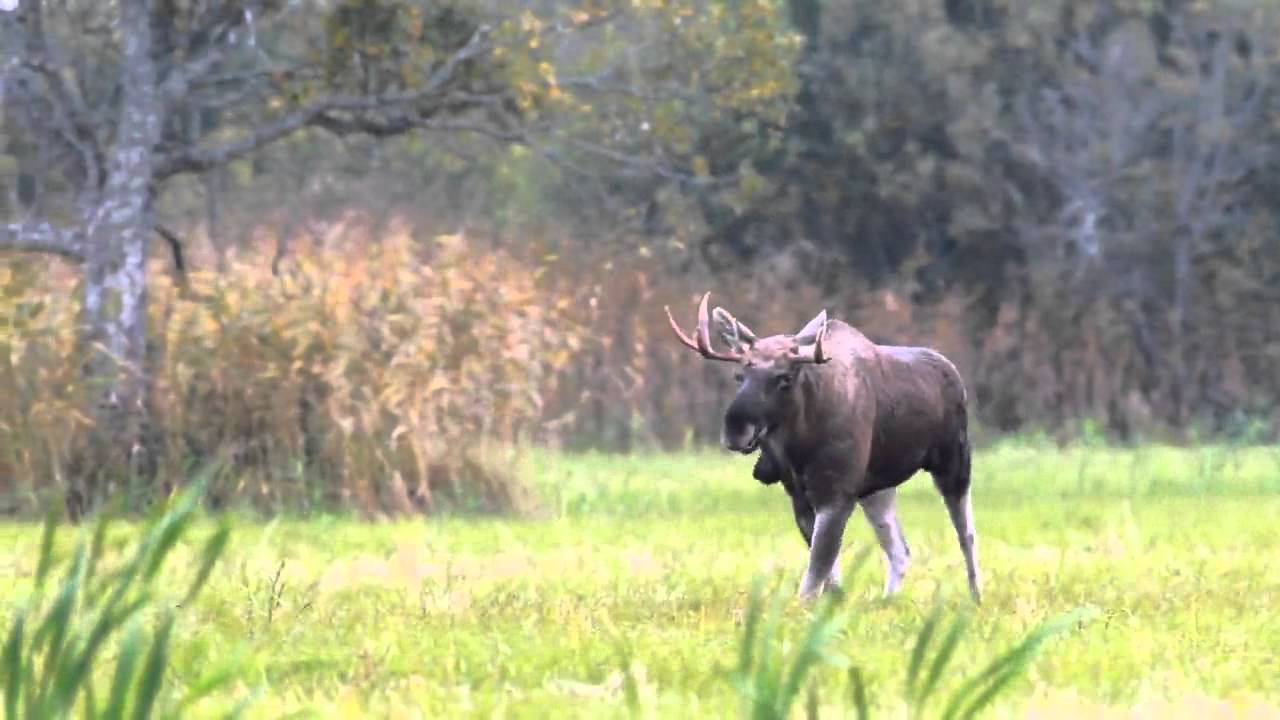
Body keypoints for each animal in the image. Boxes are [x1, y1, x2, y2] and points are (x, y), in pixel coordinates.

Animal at [664, 292, 982, 603]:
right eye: (739, 376)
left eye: (785, 377)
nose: (736, 429)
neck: (800, 444)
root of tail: (953, 372)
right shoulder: (801, 497)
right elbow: (828, 578)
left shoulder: (837, 494)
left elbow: (814, 576)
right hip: (877, 488)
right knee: (899, 549)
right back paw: (888, 601)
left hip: (954, 461)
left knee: (966, 533)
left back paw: (976, 597)